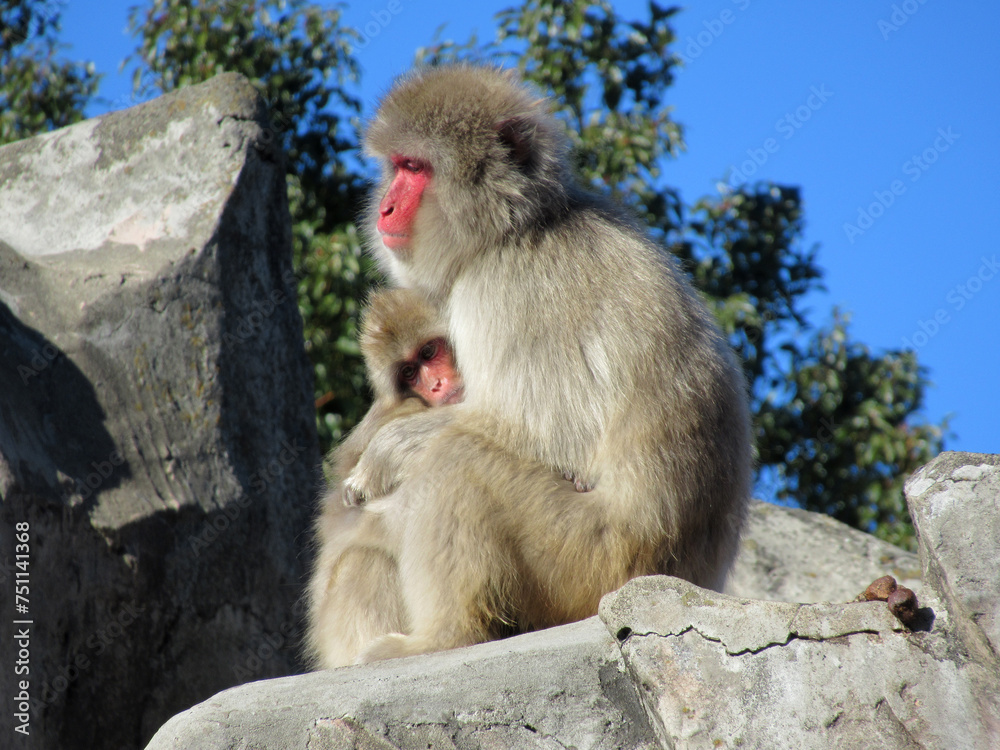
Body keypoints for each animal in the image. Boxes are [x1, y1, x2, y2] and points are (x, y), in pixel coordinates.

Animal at [346, 66, 752, 664]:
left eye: (415, 169)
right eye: (396, 166)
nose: (385, 210)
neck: (518, 226)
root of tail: (679, 579)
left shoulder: (508, 291)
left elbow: (553, 437)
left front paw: (383, 453)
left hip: (589, 562)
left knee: (456, 461)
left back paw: (443, 636)